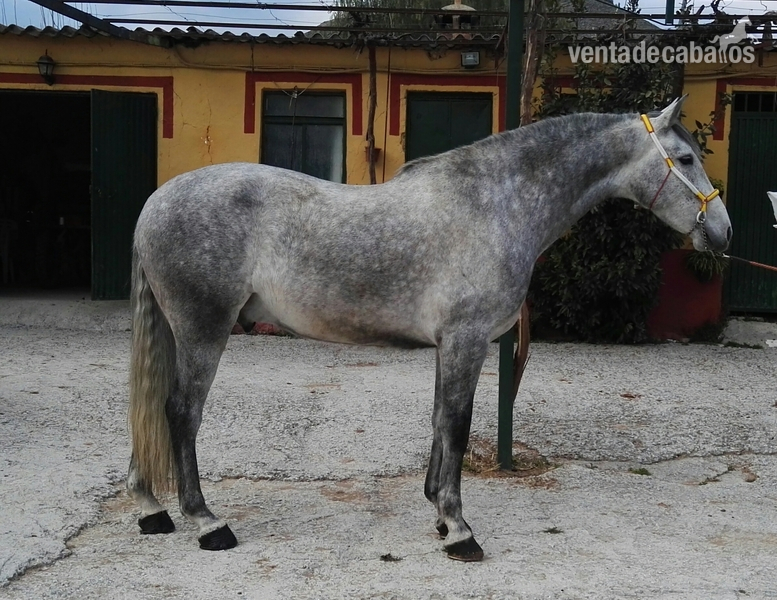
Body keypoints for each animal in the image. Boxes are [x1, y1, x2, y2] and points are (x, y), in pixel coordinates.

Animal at [127, 96, 731, 562]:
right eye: (684, 157)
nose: (722, 233)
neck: (497, 204)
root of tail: (157, 200)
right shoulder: (467, 340)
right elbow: (458, 426)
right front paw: (460, 531)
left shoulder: (451, 344)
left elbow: (441, 421)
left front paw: (440, 513)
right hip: (204, 327)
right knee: (181, 412)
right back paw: (207, 522)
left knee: (154, 405)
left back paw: (151, 510)